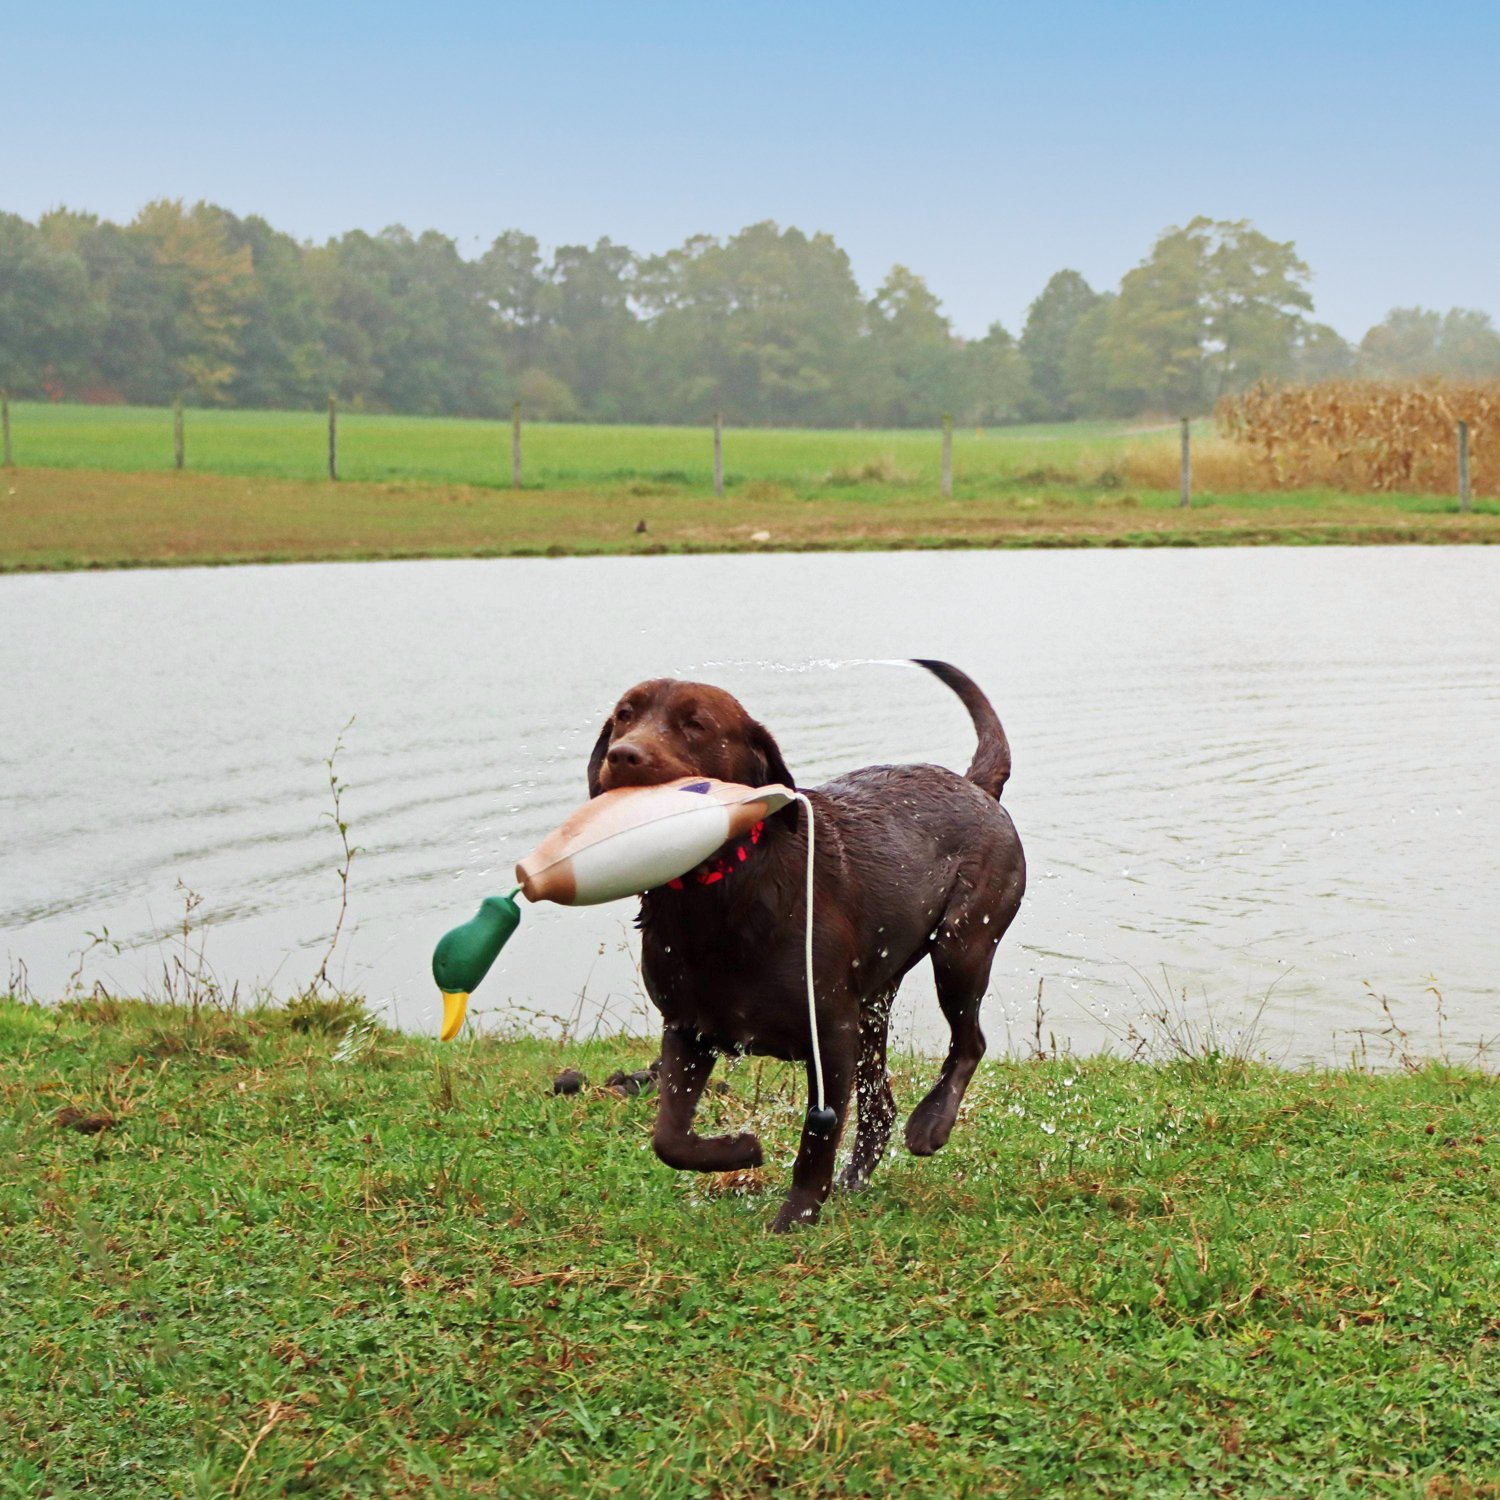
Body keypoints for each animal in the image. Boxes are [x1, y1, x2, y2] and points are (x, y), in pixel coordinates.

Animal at [591, 660, 1026, 1230]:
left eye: (696, 725)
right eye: (624, 716)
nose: (624, 755)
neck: (717, 899)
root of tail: (975, 786)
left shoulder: (831, 1036)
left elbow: (817, 1138)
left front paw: (795, 1215)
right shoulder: (688, 1028)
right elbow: (669, 1138)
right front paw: (740, 1150)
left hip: (962, 947)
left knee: (968, 1042)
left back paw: (930, 1124)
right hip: (875, 1000)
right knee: (880, 1105)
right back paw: (856, 1177)